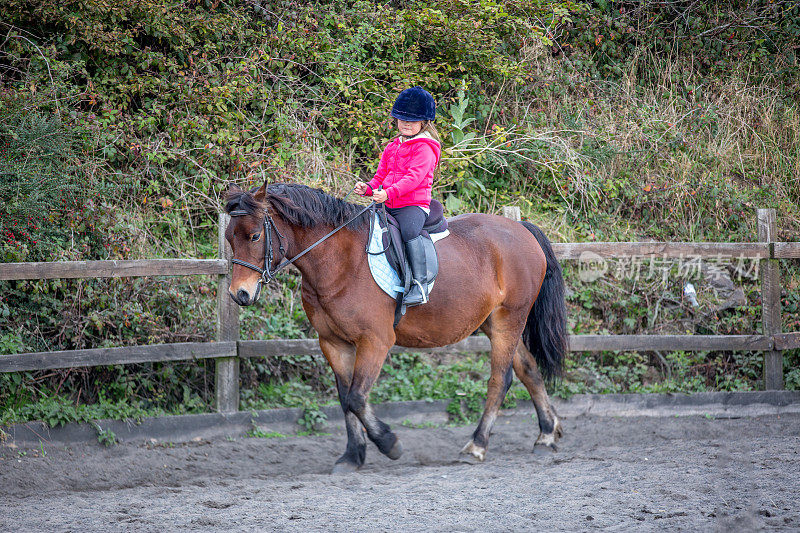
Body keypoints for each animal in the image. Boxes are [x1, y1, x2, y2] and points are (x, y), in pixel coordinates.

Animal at [222, 182, 564, 470]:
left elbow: (357, 398)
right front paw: (352, 456)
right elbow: (345, 400)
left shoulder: (375, 341)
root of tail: (520, 229)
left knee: (500, 379)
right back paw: (546, 435)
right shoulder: (333, 343)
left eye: (254, 236)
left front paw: (389, 444)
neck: (339, 261)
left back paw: (477, 445)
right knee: (528, 370)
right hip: (494, 322)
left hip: (509, 319)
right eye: (228, 238)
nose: (240, 294)